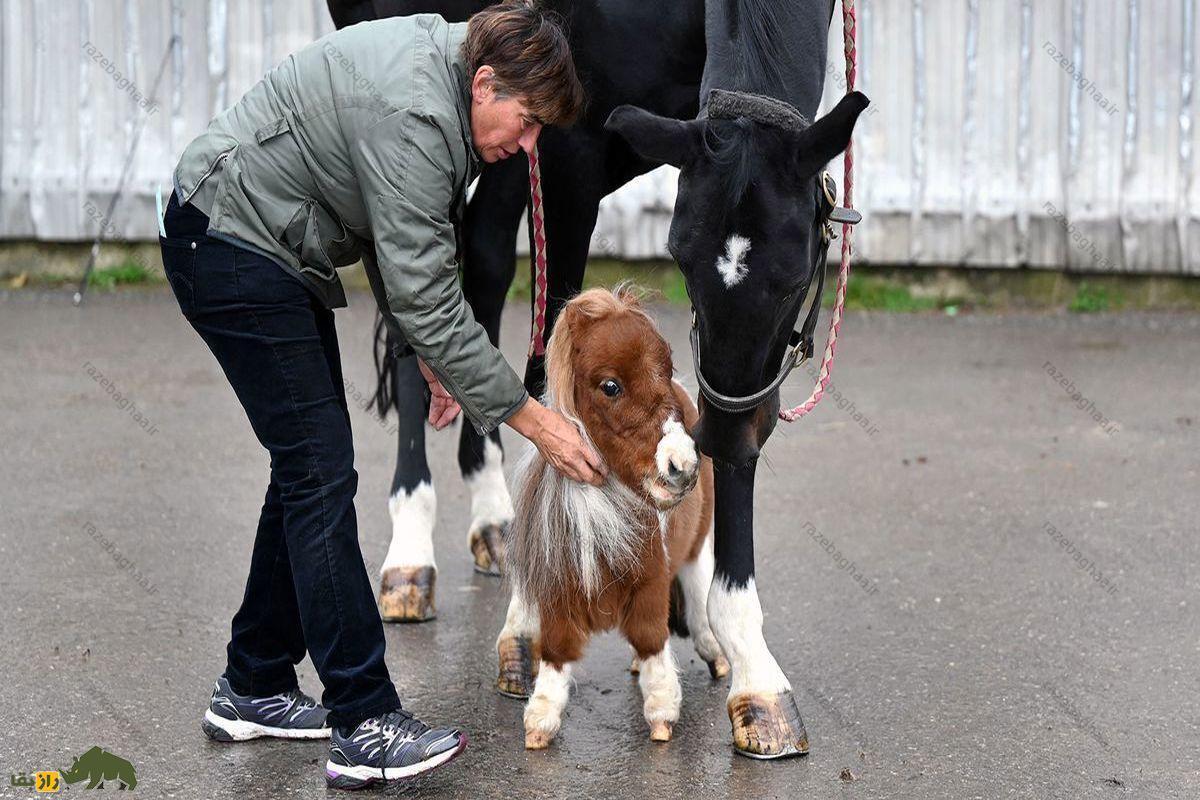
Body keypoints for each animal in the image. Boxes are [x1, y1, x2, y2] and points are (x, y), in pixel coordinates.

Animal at [328, 0, 868, 758]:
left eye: (793, 275)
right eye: (681, 258)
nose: (720, 440)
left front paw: (748, 669)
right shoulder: (564, 147)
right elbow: (553, 349)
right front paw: (529, 623)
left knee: (481, 264)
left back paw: (497, 516)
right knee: (415, 289)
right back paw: (411, 548)